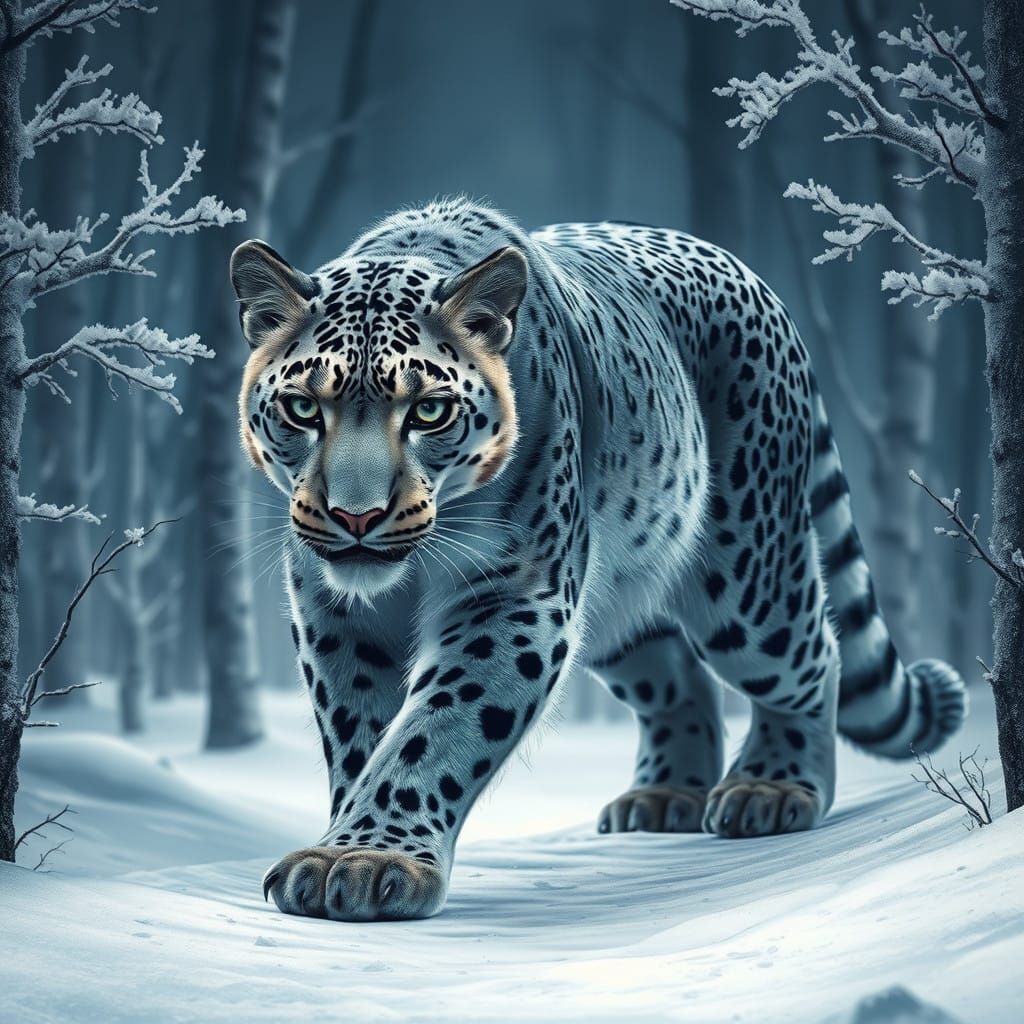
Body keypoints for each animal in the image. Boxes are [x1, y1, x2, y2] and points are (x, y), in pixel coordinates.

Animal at [232, 198, 966, 923]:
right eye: (302, 408)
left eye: (430, 411)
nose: (355, 517)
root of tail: (751, 278)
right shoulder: (334, 615)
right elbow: (360, 729)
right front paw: (344, 845)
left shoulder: (513, 596)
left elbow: (434, 726)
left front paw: (366, 861)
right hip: (620, 606)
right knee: (678, 677)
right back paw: (663, 798)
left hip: (750, 586)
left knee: (812, 658)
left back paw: (774, 786)